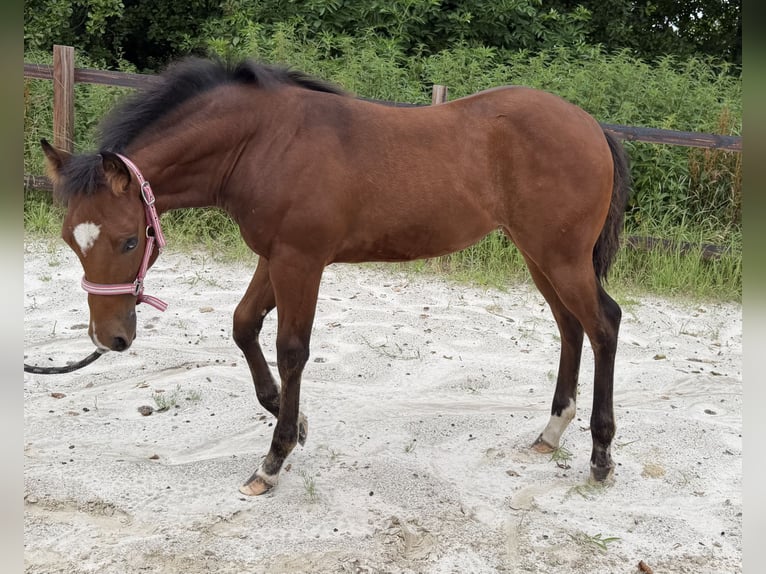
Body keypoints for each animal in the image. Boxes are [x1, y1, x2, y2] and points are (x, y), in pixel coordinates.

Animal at [40, 56, 631, 496]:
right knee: (570, 326)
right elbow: (243, 325)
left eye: (130, 240)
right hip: (540, 255)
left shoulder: (301, 261)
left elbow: (292, 350)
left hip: (559, 255)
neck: (263, 142)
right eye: (71, 240)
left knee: (603, 323)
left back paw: (600, 455)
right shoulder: (273, 257)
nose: (109, 339)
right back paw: (551, 432)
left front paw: (272, 461)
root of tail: (591, 125)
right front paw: (293, 419)